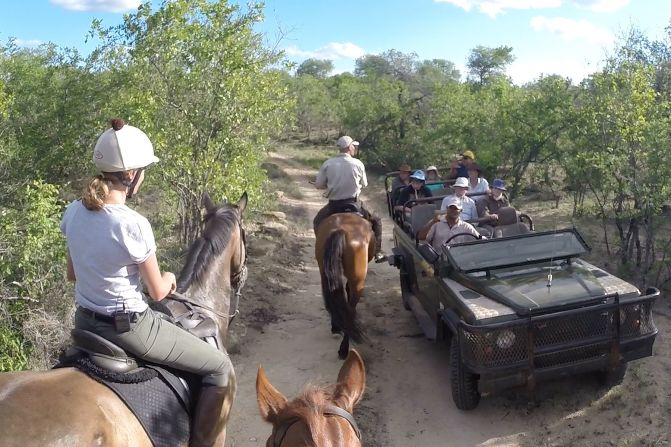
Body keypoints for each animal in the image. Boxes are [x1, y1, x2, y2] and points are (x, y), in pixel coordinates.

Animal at [314, 214, 376, 360]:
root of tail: (340, 230)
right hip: (358, 282)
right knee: (350, 310)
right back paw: (344, 349)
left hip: (324, 272)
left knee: (334, 297)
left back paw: (336, 327)